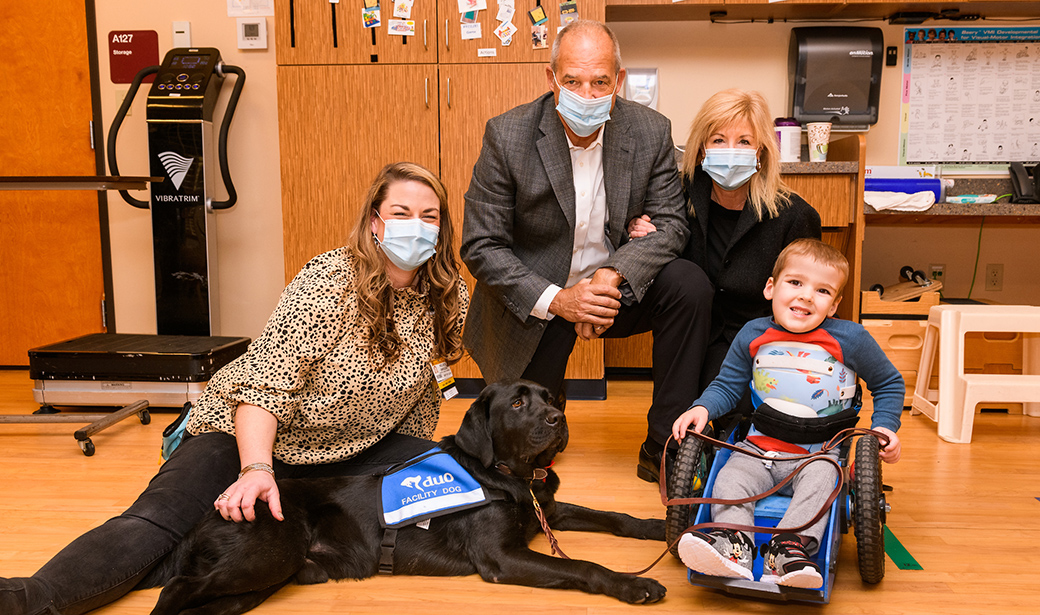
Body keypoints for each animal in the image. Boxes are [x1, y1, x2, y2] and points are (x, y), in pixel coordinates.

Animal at [142, 382, 665, 611]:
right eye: (518, 404)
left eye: (551, 398)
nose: (560, 418)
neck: (510, 475)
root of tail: (210, 513)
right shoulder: (502, 558)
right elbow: (583, 566)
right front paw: (631, 584)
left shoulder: (548, 510)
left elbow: (613, 516)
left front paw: (660, 526)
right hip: (271, 554)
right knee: (176, 588)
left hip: (261, 581)